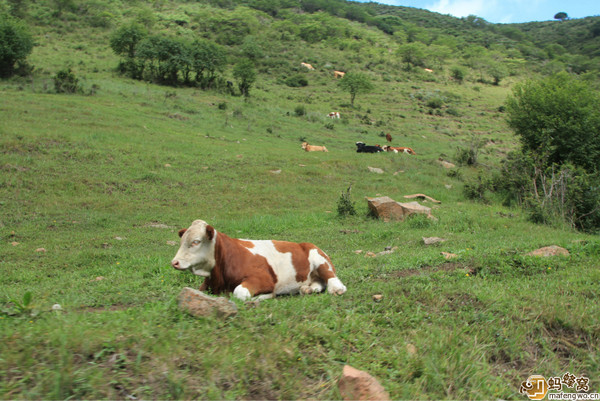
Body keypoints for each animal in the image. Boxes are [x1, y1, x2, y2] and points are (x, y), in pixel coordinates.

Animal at [169, 219, 346, 300]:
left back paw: (336, 289)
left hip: (320, 260)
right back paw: (307, 289)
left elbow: (239, 292)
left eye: (196, 241)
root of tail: (305, 243)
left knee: (332, 279)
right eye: (181, 241)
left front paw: (264, 297)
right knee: (318, 282)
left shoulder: (263, 279)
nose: (174, 262)